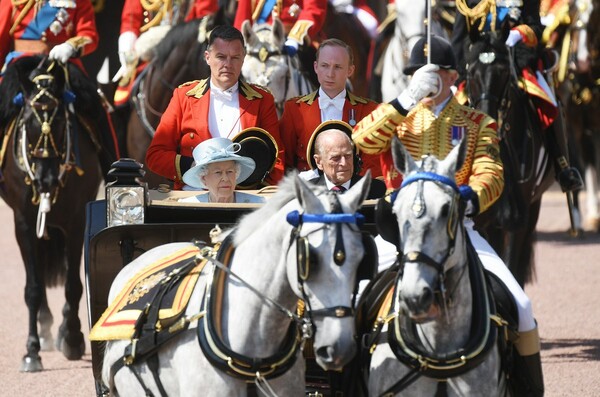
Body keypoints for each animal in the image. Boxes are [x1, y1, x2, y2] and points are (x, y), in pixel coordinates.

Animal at [0, 56, 101, 372]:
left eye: (57, 124)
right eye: (29, 124)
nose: (45, 181)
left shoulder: (76, 222)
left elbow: (73, 285)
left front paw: (73, 337)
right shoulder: (23, 223)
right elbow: (32, 287)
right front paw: (31, 350)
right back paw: (44, 329)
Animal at [466, 28, 556, 284]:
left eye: (504, 72)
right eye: (471, 71)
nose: (487, 119)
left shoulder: (518, 219)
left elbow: (511, 268)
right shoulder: (480, 217)